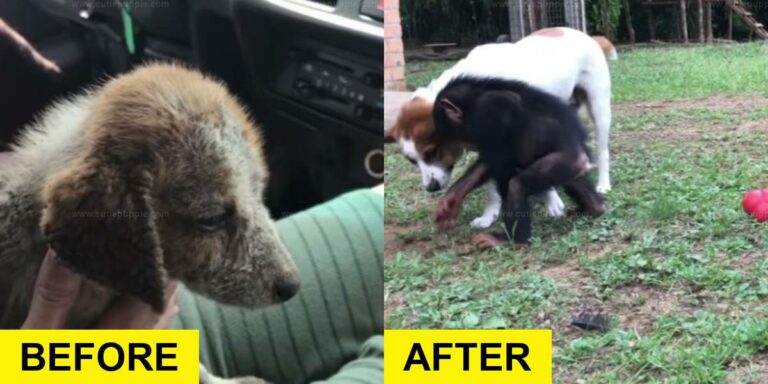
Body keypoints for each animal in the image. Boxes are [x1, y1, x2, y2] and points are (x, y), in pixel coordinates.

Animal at [388, 28, 616, 230]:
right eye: (412, 161)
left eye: (432, 152)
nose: (431, 187)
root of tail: (585, 34)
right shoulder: (488, 144)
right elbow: (490, 184)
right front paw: (488, 215)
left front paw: (552, 202)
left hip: (599, 109)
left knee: (602, 151)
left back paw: (603, 184)